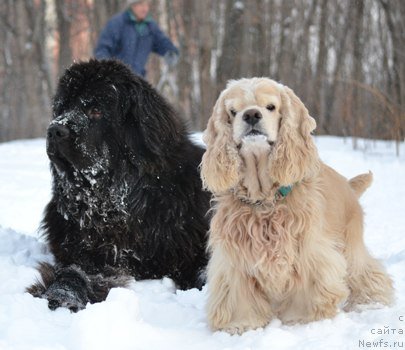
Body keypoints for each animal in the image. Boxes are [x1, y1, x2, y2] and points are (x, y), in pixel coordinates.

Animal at [27, 58, 210, 310]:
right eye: (62, 109)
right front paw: (63, 293)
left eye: (95, 111)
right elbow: (74, 271)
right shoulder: (85, 253)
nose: (55, 130)